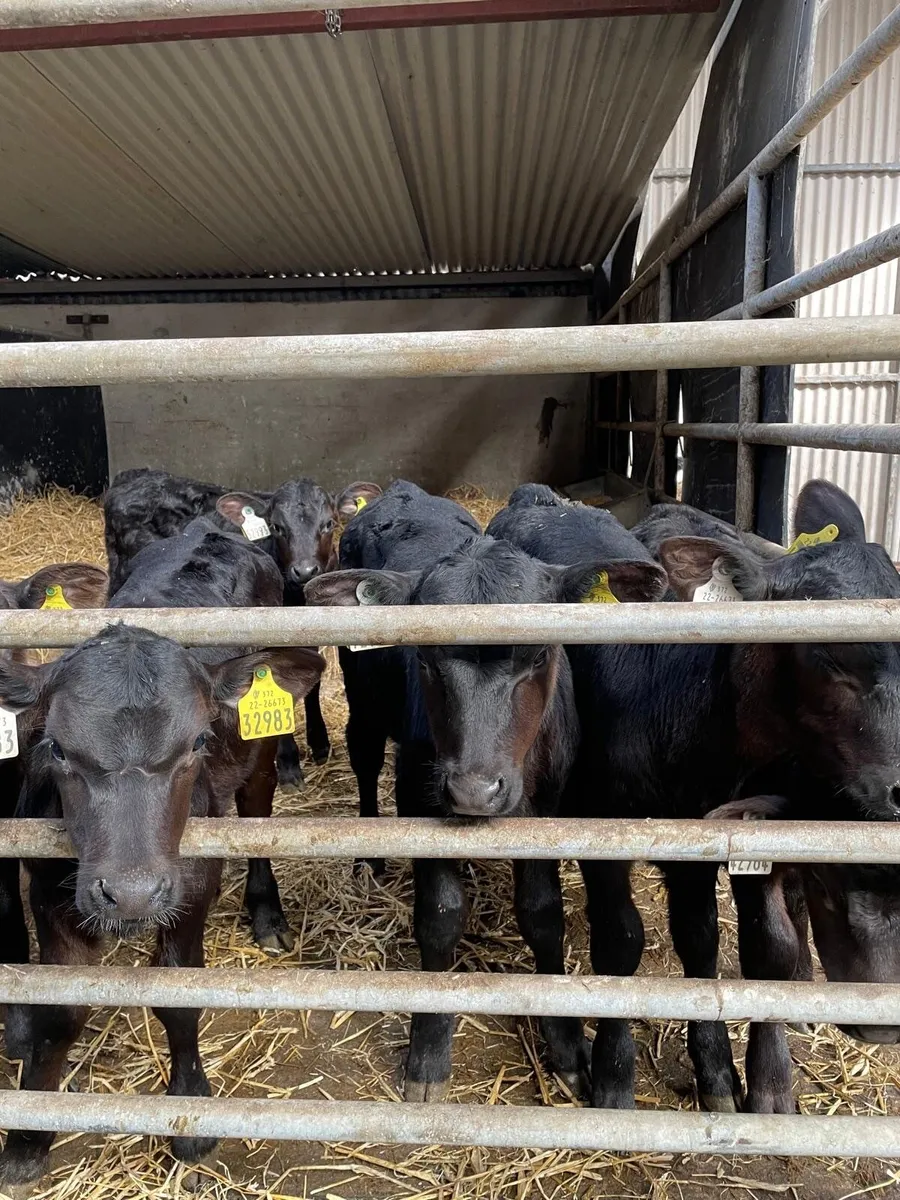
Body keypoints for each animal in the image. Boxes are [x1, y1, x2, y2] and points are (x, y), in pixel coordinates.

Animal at [0, 618, 324, 1186]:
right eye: (56, 748)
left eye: (199, 740)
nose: (132, 893)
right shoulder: (50, 897)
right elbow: (60, 1010)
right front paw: (27, 1136)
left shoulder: (189, 890)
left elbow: (178, 996)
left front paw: (190, 1111)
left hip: (260, 754)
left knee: (258, 808)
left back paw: (267, 913)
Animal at [103, 467, 381, 785]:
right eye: (276, 526)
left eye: (328, 524)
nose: (305, 570)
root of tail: (133, 475)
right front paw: (288, 763)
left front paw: (319, 742)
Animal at [305, 480, 666, 1101]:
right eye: (425, 655)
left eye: (540, 653)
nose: (475, 791)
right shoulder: (420, 797)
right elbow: (439, 915)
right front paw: (428, 1052)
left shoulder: (541, 808)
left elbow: (542, 912)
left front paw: (565, 1044)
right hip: (363, 696)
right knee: (362, 752)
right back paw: (369, 856)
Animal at [486, 479, 900, 1114]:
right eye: (831, 656)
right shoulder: (601, 824)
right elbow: (620, 943)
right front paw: (614, 1078)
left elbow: (755, 949)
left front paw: (751, 1082)